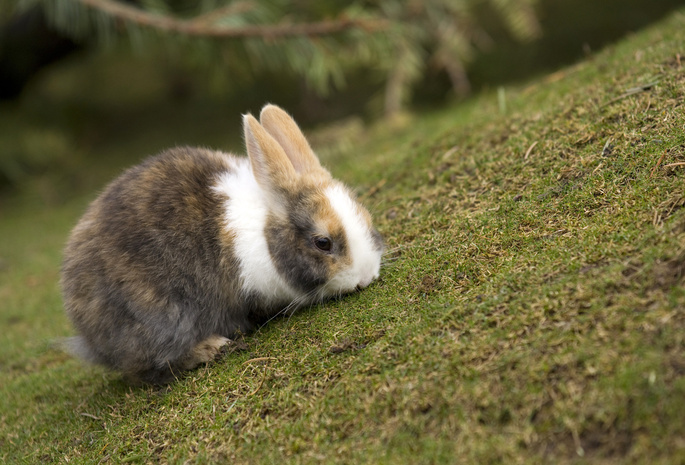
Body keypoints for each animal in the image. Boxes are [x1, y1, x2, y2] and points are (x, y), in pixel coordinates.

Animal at [60, 105, 382, 384]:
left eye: (366, 216)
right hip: (162, 318)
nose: (366, 277)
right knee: (150, 367)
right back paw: (212, 347)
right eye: (323, 242)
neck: (266, 233)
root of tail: (88, 335)